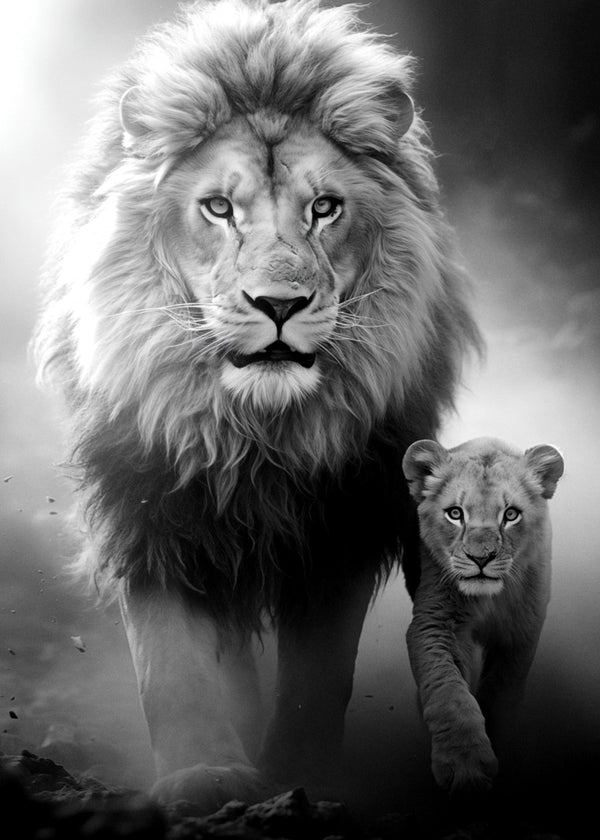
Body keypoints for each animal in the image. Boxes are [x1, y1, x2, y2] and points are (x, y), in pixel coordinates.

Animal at [33, 0, 481, 811]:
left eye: (325, 208)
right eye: (218, 208)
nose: (278, 305)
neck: (256, 433)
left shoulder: (343, 523)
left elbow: (318, 677)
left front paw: (300, 777)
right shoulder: (148, 506)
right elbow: (172, 665)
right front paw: (203, 776)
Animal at [402, 437, 564, 794]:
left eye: (511, 515)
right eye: (455, 514)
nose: (481, 558)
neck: (488, 599)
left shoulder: (521, 633)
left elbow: (502, 690)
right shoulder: (434, 623)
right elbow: (448, 691)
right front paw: (465, 766)